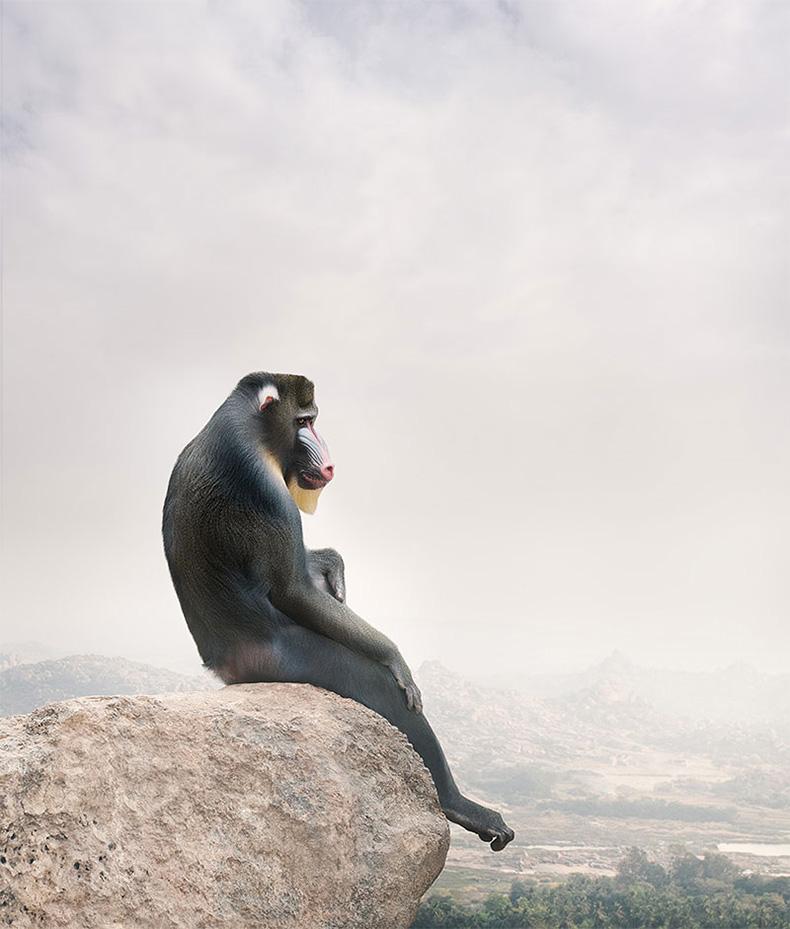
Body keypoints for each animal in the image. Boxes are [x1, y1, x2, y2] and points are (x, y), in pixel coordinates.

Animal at [162, 372, 514, 851]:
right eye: (303, 422)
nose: (328, 463)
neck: (248, 427)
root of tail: (220, 663)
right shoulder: (263, 486)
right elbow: (293, 590)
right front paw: (395, 658)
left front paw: (333, 564)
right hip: (284, 659)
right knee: (381, 689)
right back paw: (456, 803)